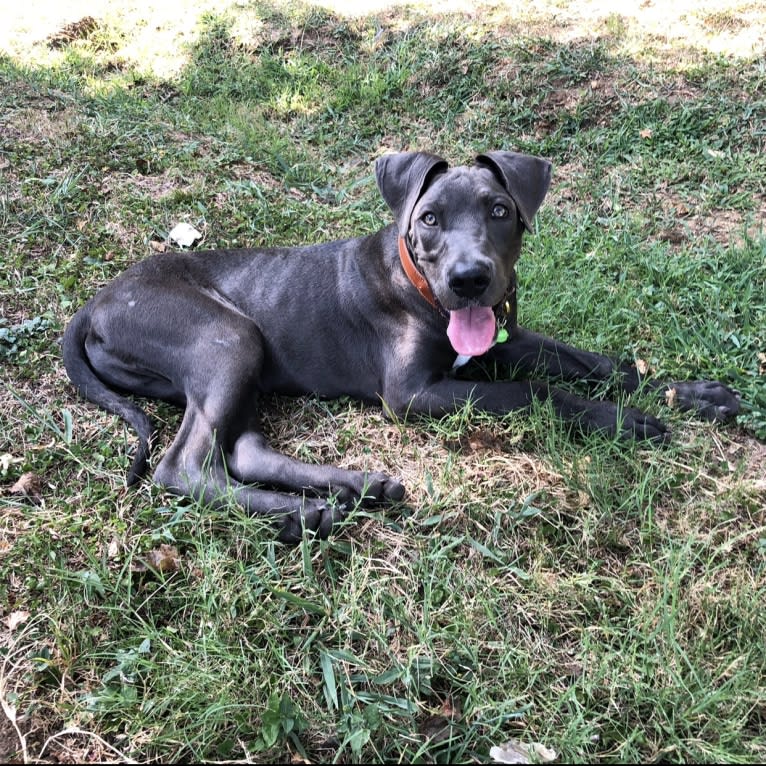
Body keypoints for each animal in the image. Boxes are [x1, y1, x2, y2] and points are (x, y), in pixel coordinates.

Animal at [63, 152, 740, 544]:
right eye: (430, 219)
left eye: (500, 210)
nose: (470, 279)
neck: (420, 289)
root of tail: (94, 303)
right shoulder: (414, 393)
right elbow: (533, 391)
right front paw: (621, 419)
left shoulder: (506, 340)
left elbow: (597, 362)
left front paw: (695, 395)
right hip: (228, 338)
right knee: (183, 467)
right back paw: (301, 514)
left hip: (239, 364)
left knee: (242, 450)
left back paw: (352, 487)